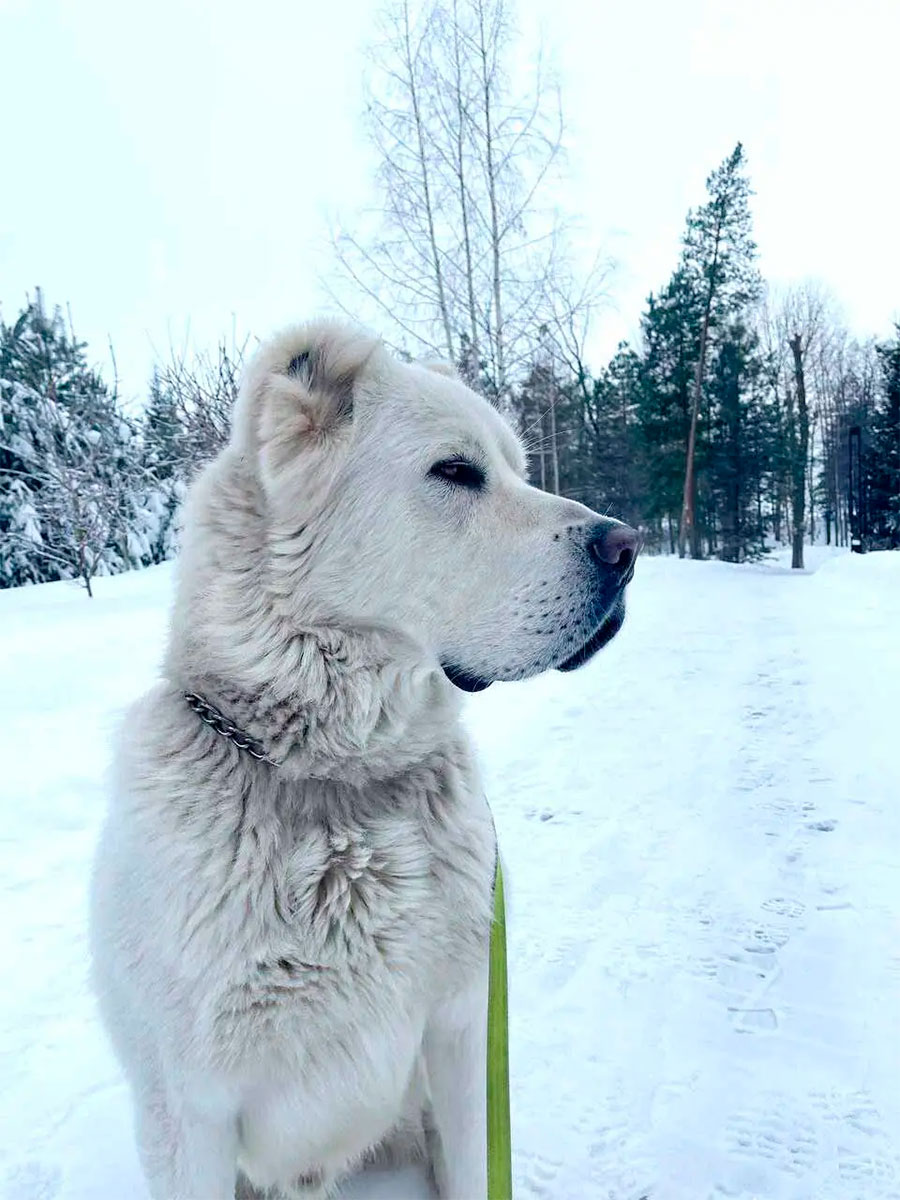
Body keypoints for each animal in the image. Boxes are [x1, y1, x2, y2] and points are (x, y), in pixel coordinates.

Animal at [90, 321, 643, 1200]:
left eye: (520, 470)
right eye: (455, 471)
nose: (629, 547)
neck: (339, 786)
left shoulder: (463, 1037)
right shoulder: (192, 1113)